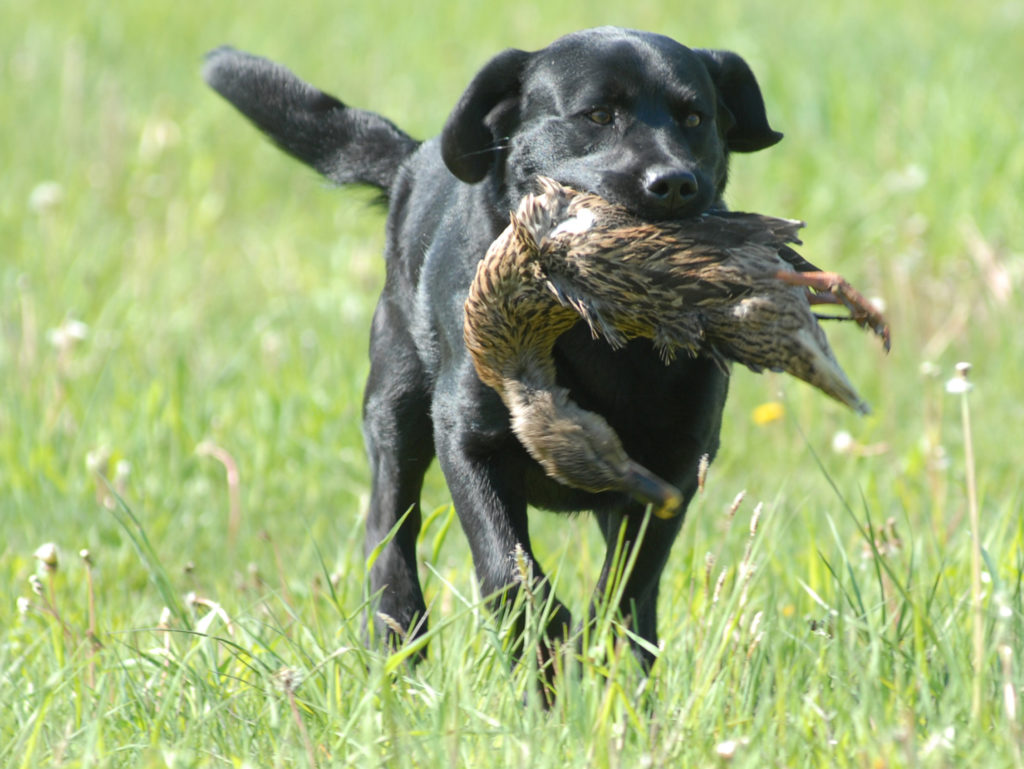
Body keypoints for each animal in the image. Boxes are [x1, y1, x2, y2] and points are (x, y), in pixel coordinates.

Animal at [207, 24, 782, 671]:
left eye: (694, 118)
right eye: (598, 115)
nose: (676, 183)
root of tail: (412, 164)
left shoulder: (674, 468)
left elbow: (626, 588)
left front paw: (601, 661)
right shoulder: (470, 439)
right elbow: (508, 570)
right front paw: (545, 648)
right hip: (394, 406)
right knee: (388, 529)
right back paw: (398, 635)